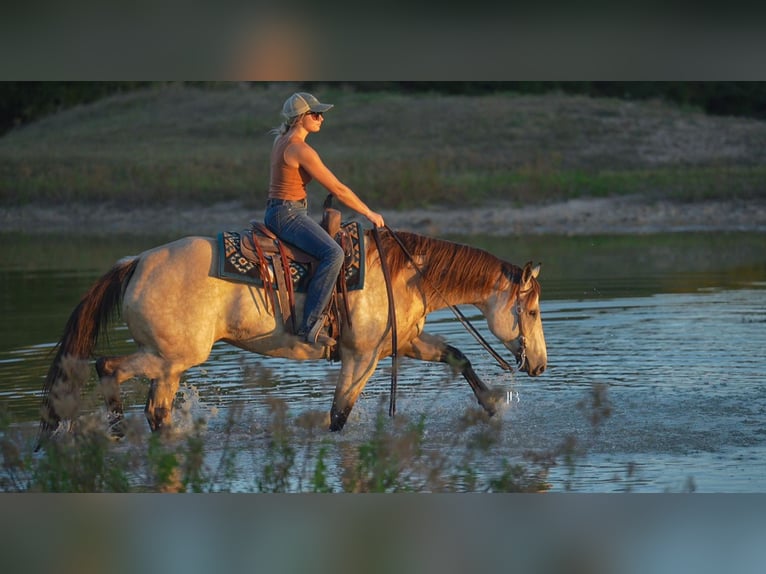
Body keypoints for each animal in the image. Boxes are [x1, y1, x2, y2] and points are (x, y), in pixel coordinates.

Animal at [37, 227, 547, 446]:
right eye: (533, 310)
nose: (539, 365)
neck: (405, 274)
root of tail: (137, 261)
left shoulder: (402, 343)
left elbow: (458, 356)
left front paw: (492, 407)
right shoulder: (361, 357)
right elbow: (339, 416)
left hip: (170, 364)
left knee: (155, 410)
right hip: (169, 358)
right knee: (108, 368)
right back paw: (119, 433)